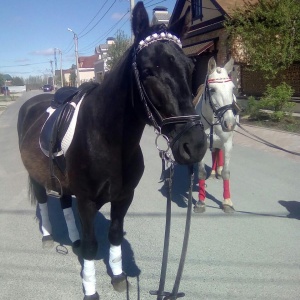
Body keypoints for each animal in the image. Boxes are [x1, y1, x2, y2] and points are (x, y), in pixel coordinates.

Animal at [17, 1, 206, 298]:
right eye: (149, 70)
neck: (107, 141)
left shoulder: (123, 197)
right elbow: (93, 245)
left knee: (64, 203)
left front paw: (117, 275)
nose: (195, 144)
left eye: (189, 67)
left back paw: (74, 240)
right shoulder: (86, 201)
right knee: (44, 201)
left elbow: (115, 235)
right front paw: (90, 287)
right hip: (37, 177)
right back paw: (48, 236)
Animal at [193, 56, 240, 213]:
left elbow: (226, 172)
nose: (230, 123)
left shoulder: (228, 144)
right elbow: (201, 172)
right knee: (215, 151)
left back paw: (217, 170)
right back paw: (213, 172)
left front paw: (227, 202)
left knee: (218, 151)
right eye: (212, 89)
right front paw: (201, 202)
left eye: (232, 89)